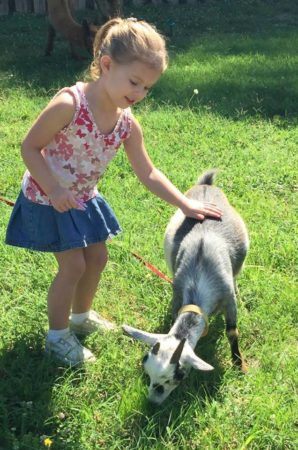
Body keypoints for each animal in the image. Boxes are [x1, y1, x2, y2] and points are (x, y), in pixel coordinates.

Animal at [123, 170, 249, 404]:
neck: (200, 277)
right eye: (147, 371)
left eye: (179, 374)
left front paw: (239, 364)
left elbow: (232, 331)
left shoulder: (228, 299)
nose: (153, 401)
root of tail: (206, 186)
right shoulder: (178, 294)